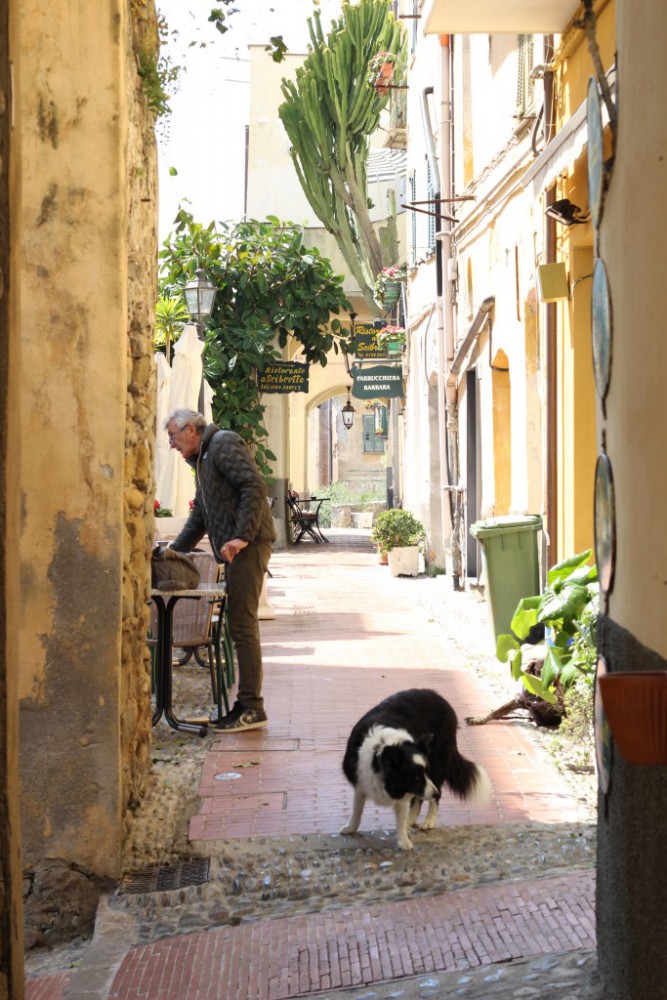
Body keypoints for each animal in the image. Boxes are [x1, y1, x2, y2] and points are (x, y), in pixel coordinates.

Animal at [342, 688, 494, 852]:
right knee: (419, 799)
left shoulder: (409, 787)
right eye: (416, 778)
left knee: (431, 797)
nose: (435, 793)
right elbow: (357, 810)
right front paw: (351, 827)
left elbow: (401, 816)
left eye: (424, 774)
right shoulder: (361, 782)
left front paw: (404, 841)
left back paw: (428, 821)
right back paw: (412, 820)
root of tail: (439, 697)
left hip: (437, 765)